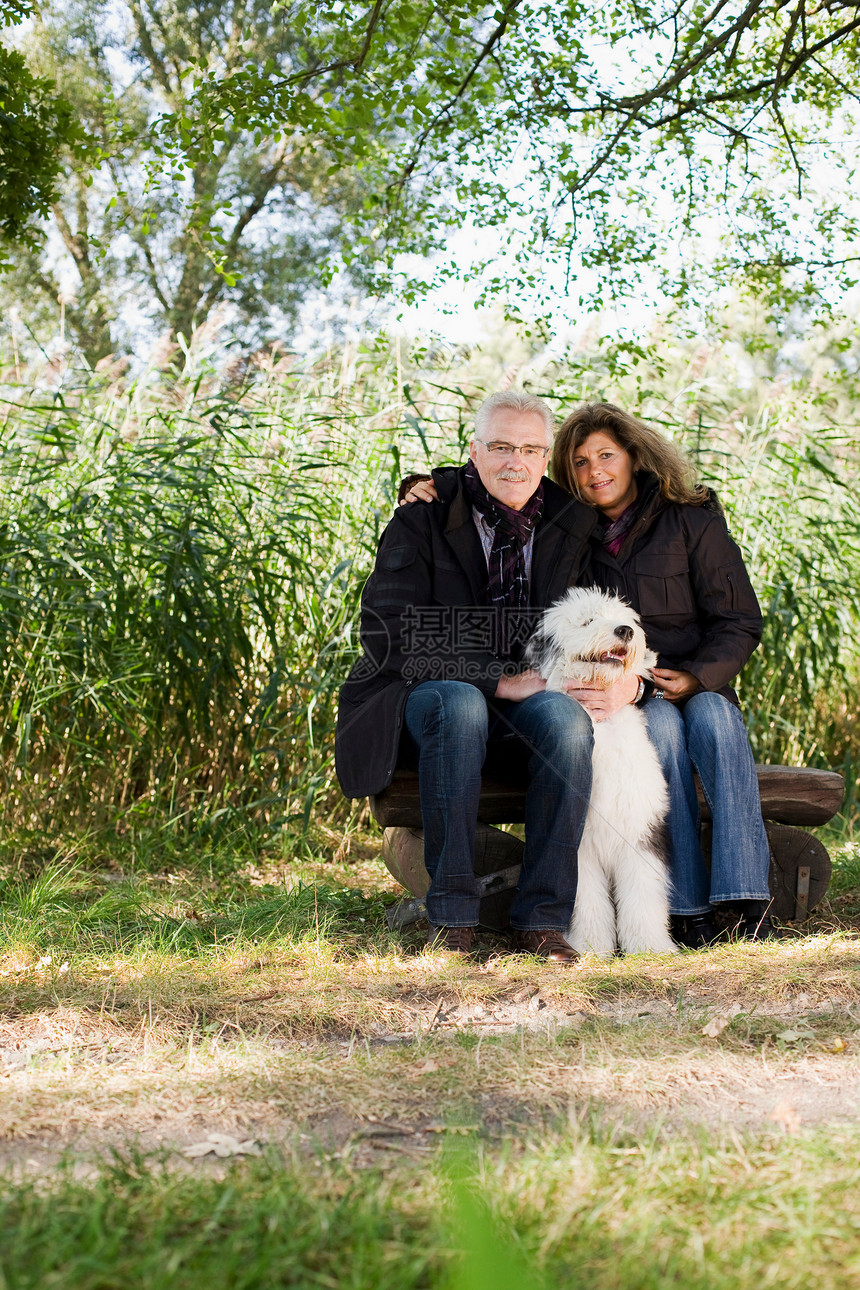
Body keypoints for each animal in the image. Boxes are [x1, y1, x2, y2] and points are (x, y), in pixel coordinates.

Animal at [526, 590, 680, 954]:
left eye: (625, 619)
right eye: (587, 621)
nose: (625, 631)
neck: (603, 724)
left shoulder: (640, 832)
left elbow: (643, 894)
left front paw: (650, 946)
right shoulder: (581, 846)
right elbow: (587, 901)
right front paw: (591, 946)